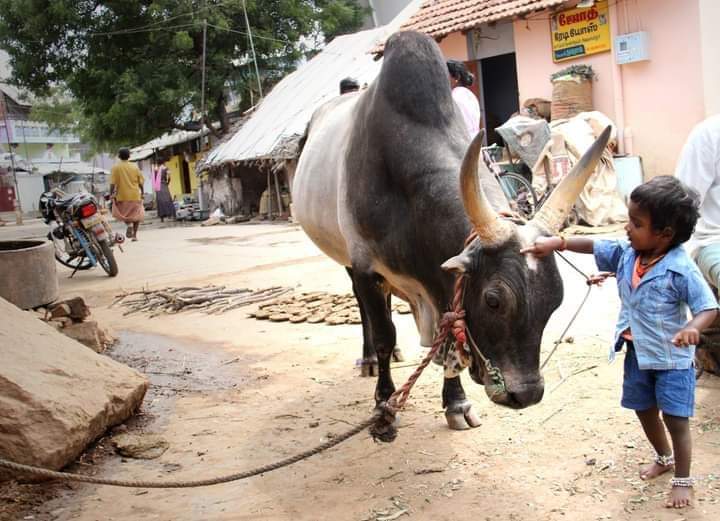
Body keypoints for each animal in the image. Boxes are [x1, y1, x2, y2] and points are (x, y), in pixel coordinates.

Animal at [292, 31, 608, 430]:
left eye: (557, 300)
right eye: (493, 300)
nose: (525, 395)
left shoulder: (441, 288)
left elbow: (446, 347)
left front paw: (456, 403)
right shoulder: (366, 266)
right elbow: (383, 334)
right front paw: (383, 406)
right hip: (347, 257)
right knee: (365, 309)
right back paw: (369, 361)